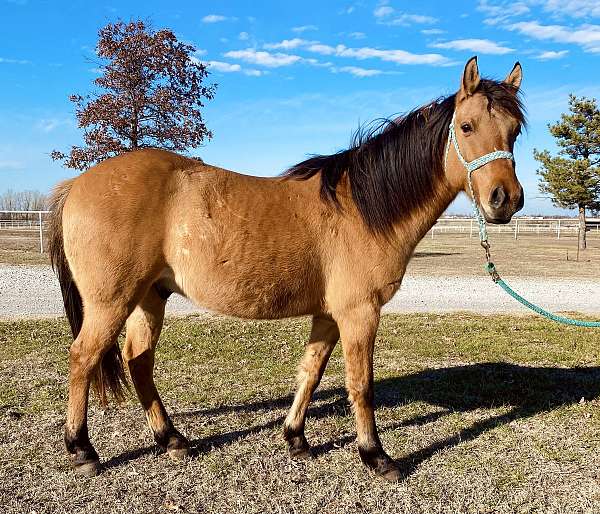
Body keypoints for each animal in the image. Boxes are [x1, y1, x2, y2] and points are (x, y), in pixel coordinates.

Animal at [48, 58, 524, 478]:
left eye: (514, 131)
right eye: (466, 127)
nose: (505, 200)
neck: (362, 208)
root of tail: (76, 184)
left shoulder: (329, 315)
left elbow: (310, 372)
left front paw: (295, 438)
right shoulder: (359, 313)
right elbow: (361, 384)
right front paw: (375, 456)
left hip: (150, 297)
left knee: (139, 362)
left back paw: (172, 440)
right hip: (111, 302)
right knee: (82, 358)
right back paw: (83, 450)